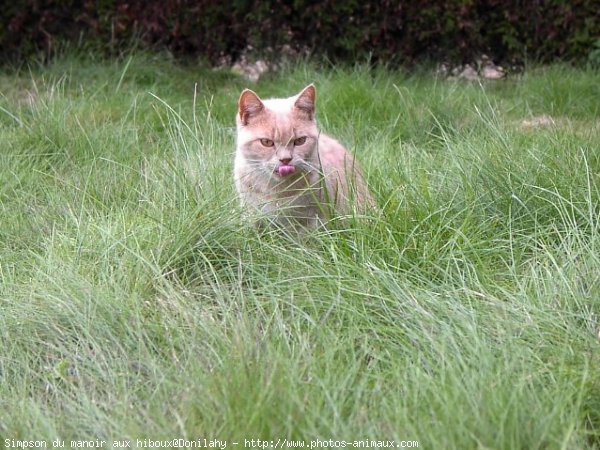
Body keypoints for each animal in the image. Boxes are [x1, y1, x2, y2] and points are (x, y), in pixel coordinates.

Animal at [232, 84, 372, 229]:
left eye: (300, 141)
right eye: (266, 142)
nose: (285, 159)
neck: (278, 191)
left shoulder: (314, 219)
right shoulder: (251, 213)